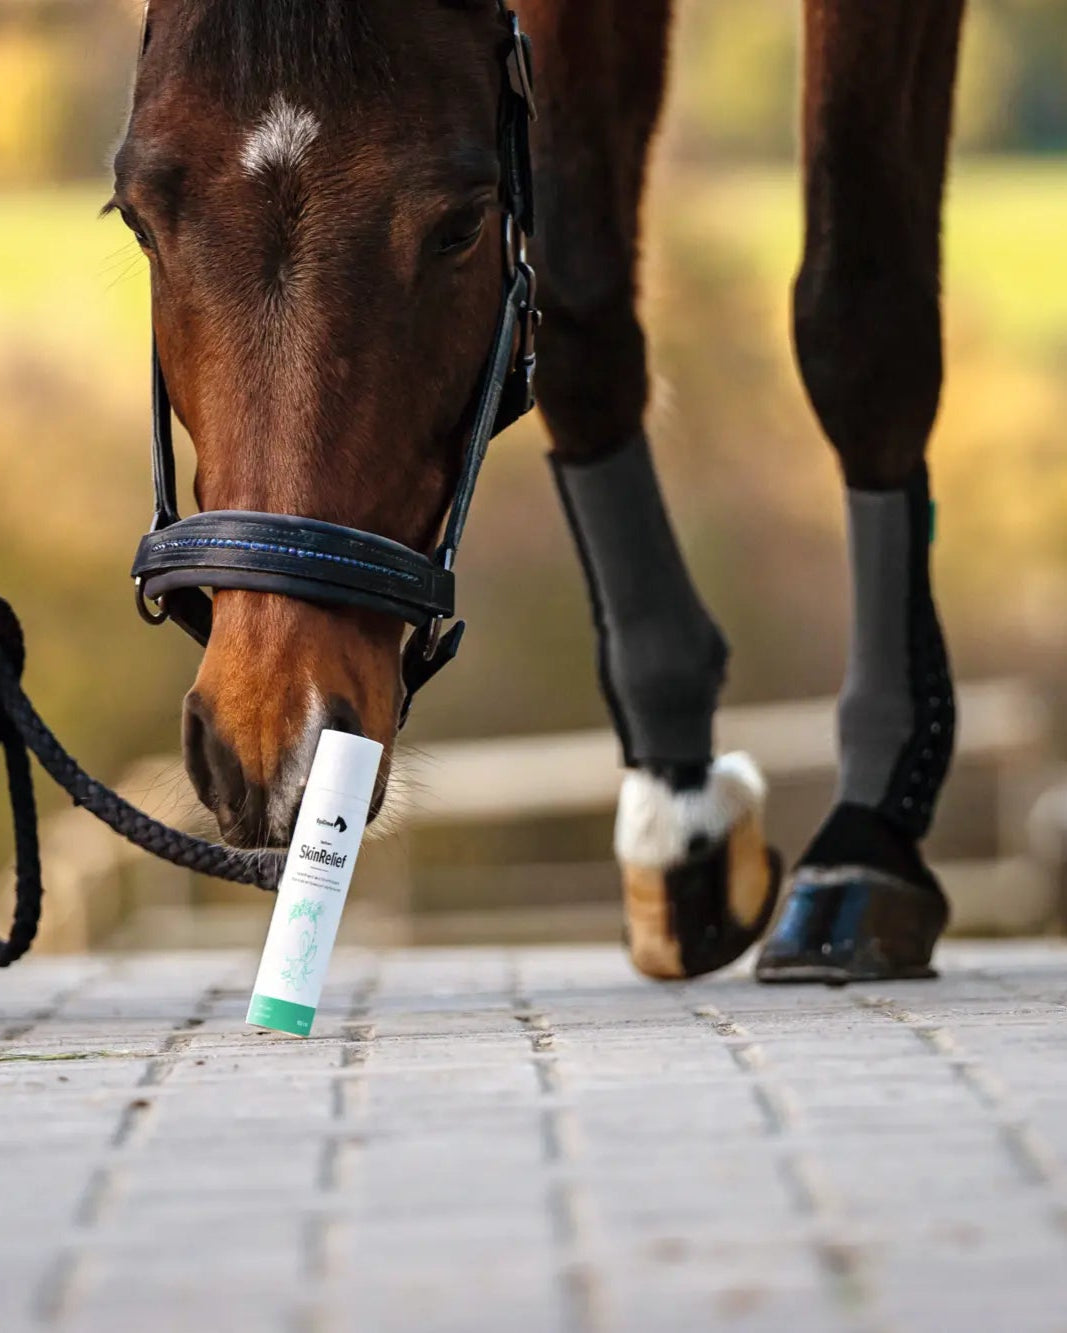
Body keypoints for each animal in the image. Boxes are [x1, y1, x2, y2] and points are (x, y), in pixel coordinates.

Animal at [111, 0, 962, 986]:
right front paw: (679, 804)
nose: (269, 742)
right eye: (136, 221)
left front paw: (867, 837)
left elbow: (860, 320)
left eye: (460, 225)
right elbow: (581, 313)